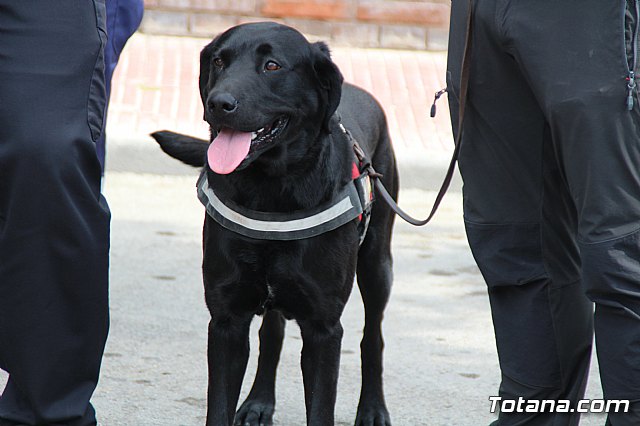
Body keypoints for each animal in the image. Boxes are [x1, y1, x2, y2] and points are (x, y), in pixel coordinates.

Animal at [152, 23, 398, 426]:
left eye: (272, 65)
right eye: (218, 61)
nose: (218, 104)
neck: (270, 192)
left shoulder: (323, 329)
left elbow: (321, 408)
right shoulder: (226, 321)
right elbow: (219, 405)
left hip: (378, 265)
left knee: (372, 337)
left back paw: (374, 409)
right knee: (272, 335)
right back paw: (258, 402)